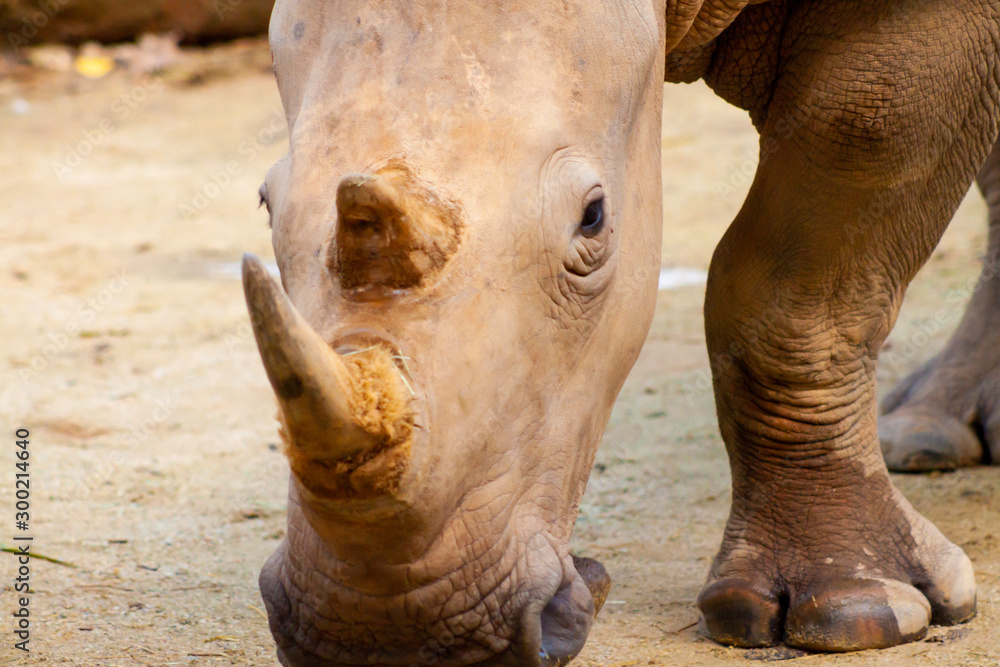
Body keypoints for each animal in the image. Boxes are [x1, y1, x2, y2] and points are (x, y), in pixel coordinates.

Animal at [241, 0, 1000, 664]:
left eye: (594, 217)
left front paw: (852, 615)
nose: (390, 638)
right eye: (266, 204)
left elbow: (797, 289)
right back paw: (930, 435)